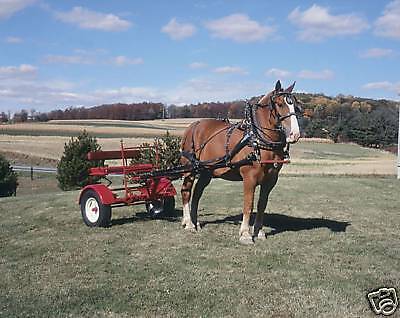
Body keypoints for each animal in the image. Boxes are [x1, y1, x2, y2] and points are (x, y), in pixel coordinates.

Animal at [180, 80, 298, 245]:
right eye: (280, 104)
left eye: (295, 105)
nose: (295, 134)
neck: (257, 139)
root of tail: (193, 126)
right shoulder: (249, 178)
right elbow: (248, 204)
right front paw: (245, 234)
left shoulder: (270, 180)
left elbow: (262, 205)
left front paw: (259, 231)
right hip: (190, 169)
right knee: (186, 192)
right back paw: (188, 223)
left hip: (206, 171)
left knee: (197, 194)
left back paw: (195, 221)